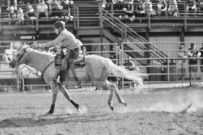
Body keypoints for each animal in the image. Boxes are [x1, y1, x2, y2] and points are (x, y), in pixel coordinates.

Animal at [8, 45, 147, 114]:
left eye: (18, 54)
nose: (10, 63)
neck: (47, 62)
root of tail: (105, 60)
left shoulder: (53, 83)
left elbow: (55, 96)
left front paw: (51, 110)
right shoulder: (60, 84)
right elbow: (67, 96)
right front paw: (78, 107)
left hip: (99, 82)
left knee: (113, 87)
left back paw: (114, 103)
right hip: (102, 81)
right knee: (114, 86)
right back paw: (119, 103)